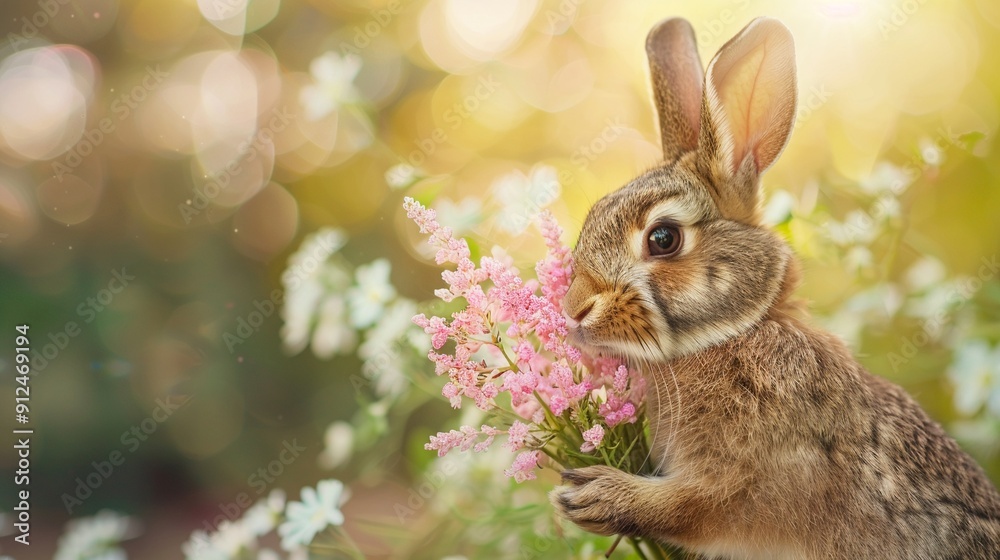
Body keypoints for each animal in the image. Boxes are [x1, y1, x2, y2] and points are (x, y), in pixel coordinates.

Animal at [549, 16, 1000, 560]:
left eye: (663, 238)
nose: (573, 309)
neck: (737, 333)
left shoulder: (749, 482)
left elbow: (691, 507)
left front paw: (595, 496)